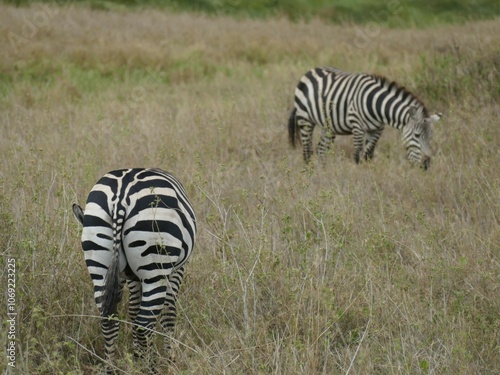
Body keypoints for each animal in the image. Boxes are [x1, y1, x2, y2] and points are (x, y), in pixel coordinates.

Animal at [72, 168, 197, 374]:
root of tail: (120, 198)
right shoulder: (178, 269)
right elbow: (169, 312)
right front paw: (169, 358)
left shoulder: (130, 277)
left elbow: (132, 308)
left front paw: (137, 355)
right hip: (155, 266)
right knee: (144, 325)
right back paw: (151, 367)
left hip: (99, 265)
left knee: (108, 320)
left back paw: (110, 368)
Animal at [290, 67, 442, 170]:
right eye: (416, 135)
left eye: (430, 137)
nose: (426, 164)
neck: (377, 106)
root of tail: (311, 70)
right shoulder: (358, 127)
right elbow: (357, 154)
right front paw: (357, 175)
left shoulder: (377, 130)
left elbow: (368, 154)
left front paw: (367, 173)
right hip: (305, 120)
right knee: (307, 150)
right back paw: (310, 173)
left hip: (328, 127)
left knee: (321, 149)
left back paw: (323, 172)